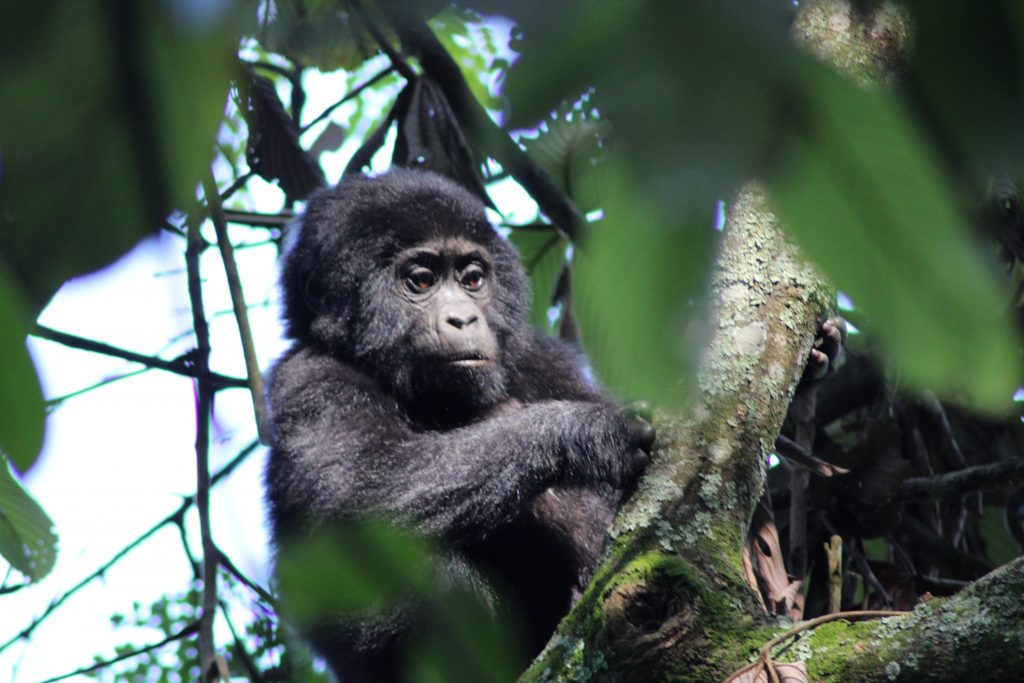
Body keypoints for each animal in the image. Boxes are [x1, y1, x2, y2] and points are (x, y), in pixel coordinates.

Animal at [260, 167, 651, 679]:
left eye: (472, 279)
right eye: (421, 281)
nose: (463, 318)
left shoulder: (542, 357)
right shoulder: (308, 379)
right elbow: (360, 500)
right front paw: (591, 434)